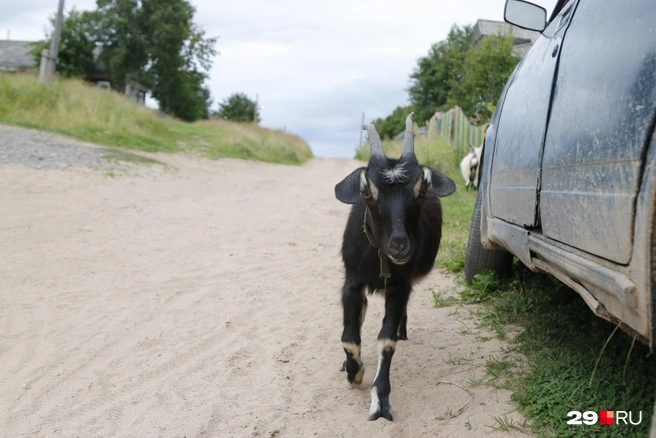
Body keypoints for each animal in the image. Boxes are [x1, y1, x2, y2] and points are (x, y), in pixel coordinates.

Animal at [334, 113, 456, 420]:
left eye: (421, 191)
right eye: (367, 192)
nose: (399, 245)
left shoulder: (400, 286)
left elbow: (386, 340)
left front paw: (380, 400)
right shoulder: (352, 282)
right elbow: (350, 337)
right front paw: (354, 373)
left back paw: (402, 331)